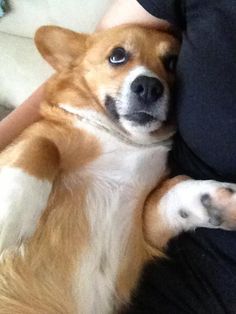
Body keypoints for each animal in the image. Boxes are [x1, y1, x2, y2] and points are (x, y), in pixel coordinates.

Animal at [0, 25, 236, 314]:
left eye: (172, 61)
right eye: (117, 56)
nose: (149, 87)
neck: (124, 140)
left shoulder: (144, 231)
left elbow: (172, 191)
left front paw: (217, 202)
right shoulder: (30, 145)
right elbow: (43, 145)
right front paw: (11, 212)